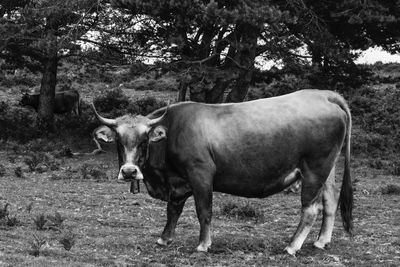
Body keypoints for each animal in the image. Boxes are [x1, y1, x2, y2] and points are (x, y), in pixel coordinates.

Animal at [91, 90, 354, 258]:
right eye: (119, 140)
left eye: (145, 139)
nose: (129, 171)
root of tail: (322, 94)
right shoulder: (178, 183)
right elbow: (173, 210)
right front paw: (164, 238)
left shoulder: (200, 174)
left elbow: (203, 211)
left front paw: (203, 244)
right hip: (328, 169)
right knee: (330, 201)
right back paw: (321, 241)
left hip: (314, 170)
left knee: (311, 209)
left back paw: (292, 246)